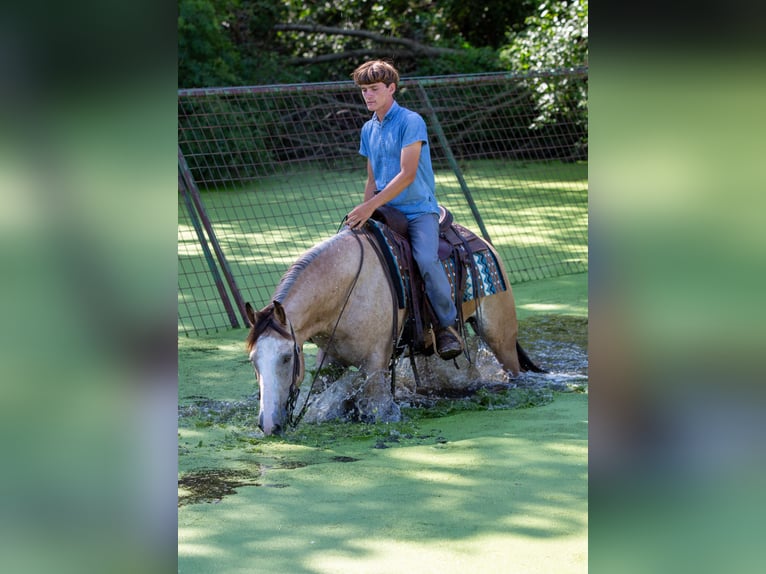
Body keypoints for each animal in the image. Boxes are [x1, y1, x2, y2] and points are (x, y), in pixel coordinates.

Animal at [246, 220, 541, 435]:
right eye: (252, 360)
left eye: (286, 357)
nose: (268, 424)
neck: (345, 290)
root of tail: (483, 242)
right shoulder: (330, 359)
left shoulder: (376, 362)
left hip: (500, 338)